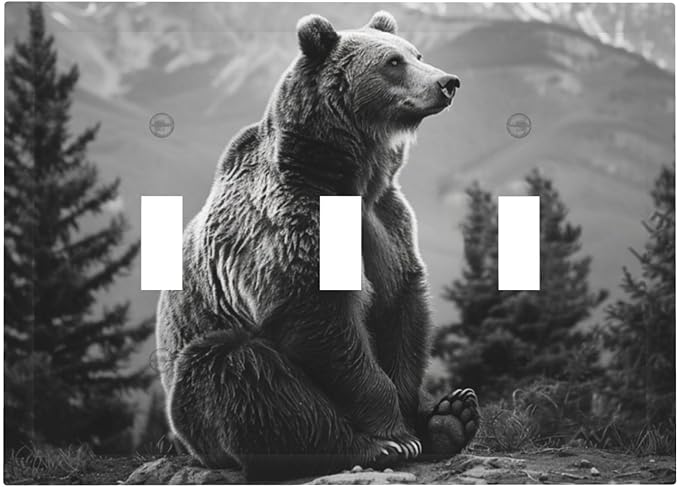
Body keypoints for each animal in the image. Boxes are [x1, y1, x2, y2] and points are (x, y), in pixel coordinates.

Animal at [156, 11, 479, 481]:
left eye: (418, 54)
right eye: (393, 62)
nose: (447, 82)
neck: (352, 175)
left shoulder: (386, 220)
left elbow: (401, 305)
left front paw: (418, 416)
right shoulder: (291, 223)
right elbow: (322, 320)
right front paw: (395, 433)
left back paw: (453, 416)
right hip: (195, 409)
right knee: (235, 368)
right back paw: (367, 447)